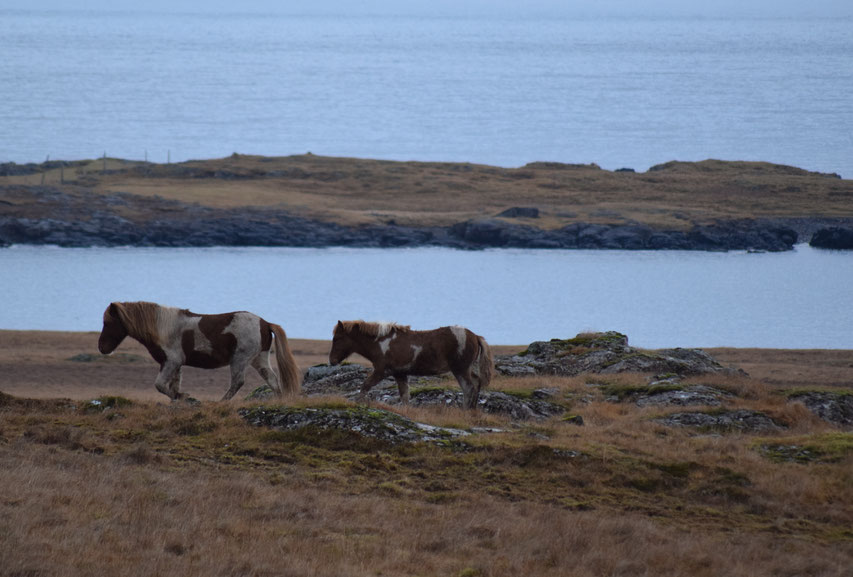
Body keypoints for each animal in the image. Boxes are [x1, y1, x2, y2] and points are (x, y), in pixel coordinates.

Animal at [97, 302, 302, 400]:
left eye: (108, 322)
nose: (102, 348)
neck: (162, 327)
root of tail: (265, 323)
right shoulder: (175, 365)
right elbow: (172, 386)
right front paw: (179, 398)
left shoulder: (171, 361)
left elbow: (160, 385)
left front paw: (183, 396)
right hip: (259, 359)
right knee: (272, 380)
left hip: (240, 359)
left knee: (237, 382)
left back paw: (221, 403)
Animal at [330, 320, 496, 410]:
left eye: (337, 338)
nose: (331, 361)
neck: (381, 343)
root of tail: (475, 336)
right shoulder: (400, 373)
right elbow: (404, 396)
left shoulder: (381, 371)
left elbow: (365, 386)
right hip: (467, 369)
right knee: (476, 384)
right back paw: (472, 410)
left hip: (460, 369)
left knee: (468, 388)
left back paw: (465, 411)